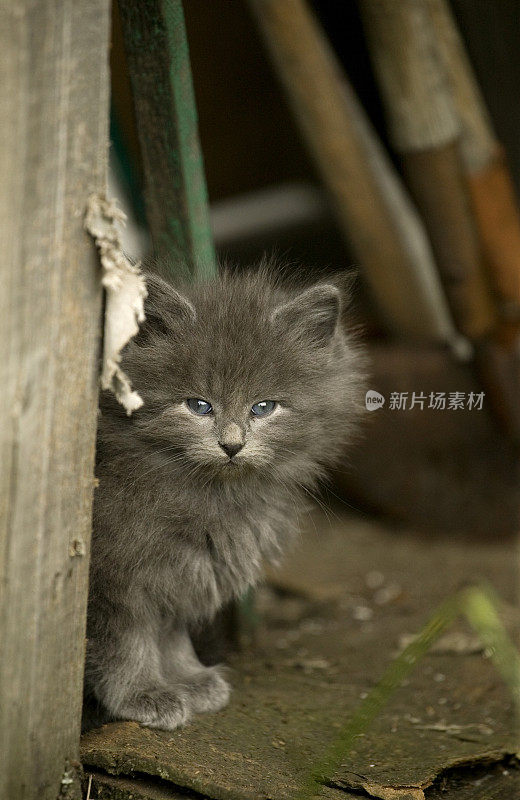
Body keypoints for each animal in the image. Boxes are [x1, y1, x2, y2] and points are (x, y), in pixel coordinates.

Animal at [85, 268, 364, 732]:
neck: (212, 495)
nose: (232, 445)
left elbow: (171, 628)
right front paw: (143, 693)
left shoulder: (186, 564)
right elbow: (125, 640)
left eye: (264, 407)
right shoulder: (115, 573)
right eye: (199, 405)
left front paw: (188, 677)